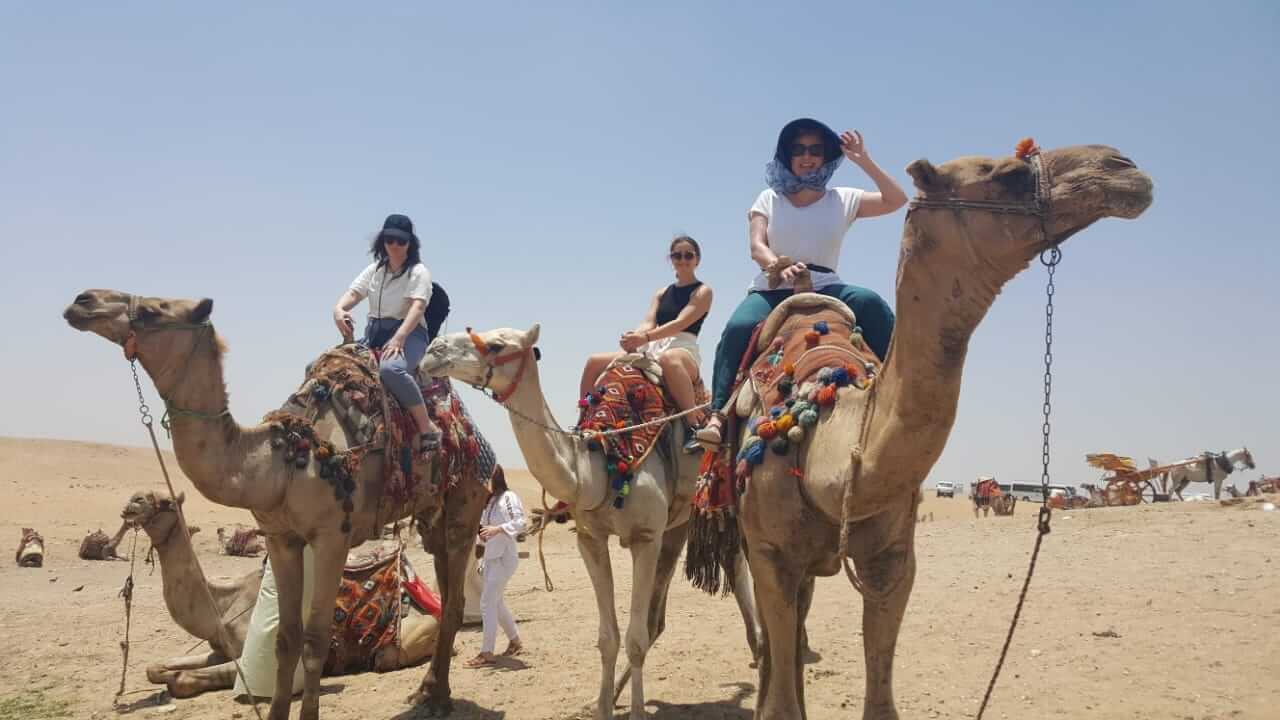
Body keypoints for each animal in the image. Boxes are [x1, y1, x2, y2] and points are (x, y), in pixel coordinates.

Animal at [120, 486, 450, 696]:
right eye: (140, 495)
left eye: (166, 502)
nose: (131, 503)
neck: (224, 604)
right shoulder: (219, 649)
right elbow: (154, 668)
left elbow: (181, 679)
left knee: (385, 657)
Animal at [706, 141, 1157, 717]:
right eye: (1009, 175)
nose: (1124, 168)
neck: (825, 449)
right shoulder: (770, 551)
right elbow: (780, 701)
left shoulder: (894, 560)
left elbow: (880, 702)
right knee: (773, 637)